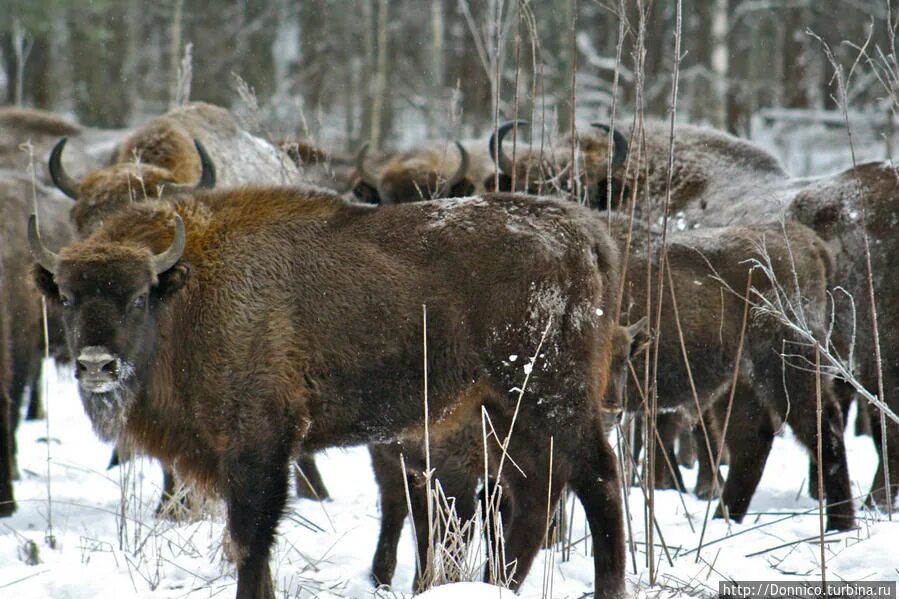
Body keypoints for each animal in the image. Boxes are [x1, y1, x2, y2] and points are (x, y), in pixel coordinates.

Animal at [31, 189, 628, 599]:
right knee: (533, 493)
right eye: (67, 297)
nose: (96, 365)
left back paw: (605, 588)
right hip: (502, 410)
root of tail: (584, 234)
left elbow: (250, 539)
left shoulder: (260, 446)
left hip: (550, 395)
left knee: (597, 478)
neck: (190, 290)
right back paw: (495, 584)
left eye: (137, 297)